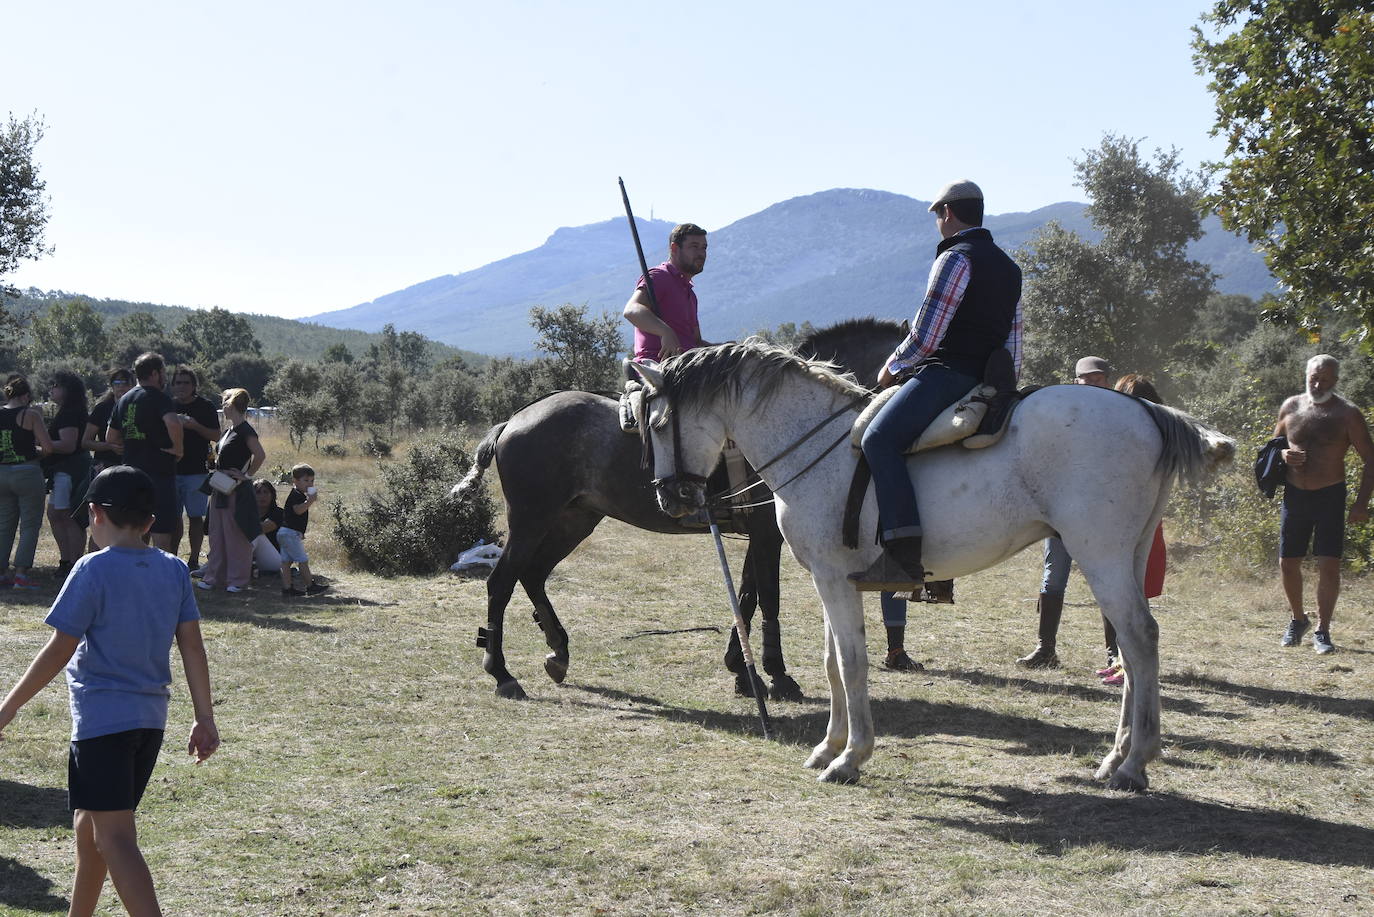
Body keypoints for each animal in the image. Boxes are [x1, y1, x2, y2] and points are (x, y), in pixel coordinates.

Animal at [450, 318, 901, 698]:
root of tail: (512, 421)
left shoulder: (758, 535)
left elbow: (747, 595)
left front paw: (742, 670)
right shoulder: (767, 534)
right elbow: (767, 597)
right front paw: (775, 673)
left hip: (574, 519)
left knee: (533, 574)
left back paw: (558, 652)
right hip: (531, 519)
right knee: (501, 582)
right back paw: (501, 672)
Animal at [632, 340, 1236, 791]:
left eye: (658, 423)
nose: (669, 497)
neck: (818, 444)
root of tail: (1145, 412)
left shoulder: (833, 578)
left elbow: (852, 664)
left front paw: (850, 758)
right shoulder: (831, 579)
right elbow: (833, 663)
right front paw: (827, 745)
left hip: (1100, 553)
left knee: (1139, 638)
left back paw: (1135, 763)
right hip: (1126, 555)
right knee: (1131, 652)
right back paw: (1115, 759)